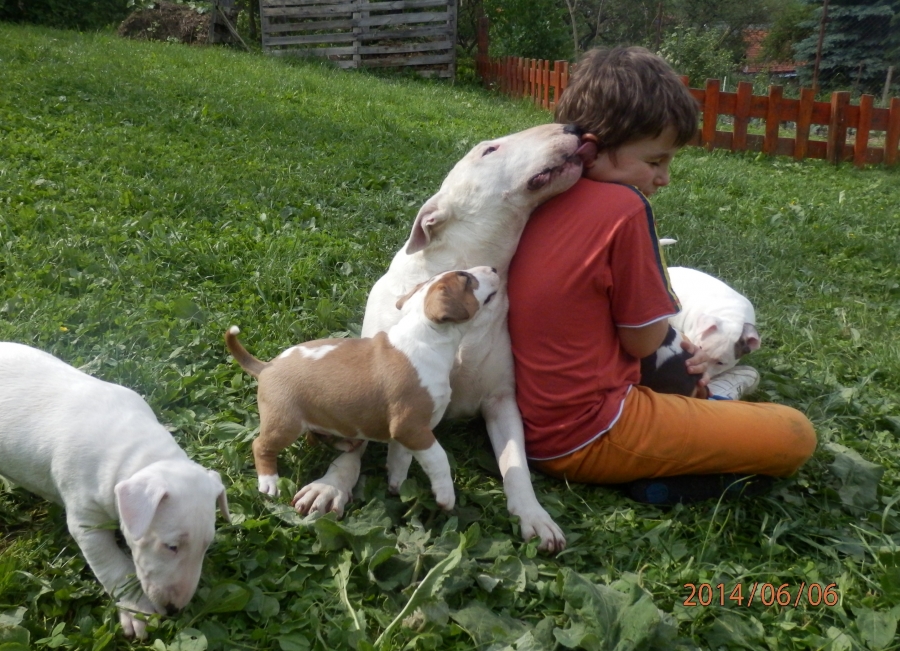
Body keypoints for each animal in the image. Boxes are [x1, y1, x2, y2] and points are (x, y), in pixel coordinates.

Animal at [0, 342, 230, 639]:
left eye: (206, 545)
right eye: (171, 546)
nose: (174, 610)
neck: (138, 450)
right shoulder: (85, 519)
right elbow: (112, 564)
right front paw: (137, 611)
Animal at [226, 267, 500, 511]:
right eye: (466, 278)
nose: (494, 268)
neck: (426, 336)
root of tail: (267, 367)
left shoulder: (404, 430)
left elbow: (400, 458)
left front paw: (397, 486)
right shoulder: (412, 427)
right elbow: (438, 458)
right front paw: (445, 497)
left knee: (314, 437)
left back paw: (345, 444)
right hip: (285, 423)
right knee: (261, 445)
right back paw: (269, 482)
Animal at [290, 123, 595, 553]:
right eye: (490, 150)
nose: (574, 127)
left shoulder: (501, 400)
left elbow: (515, 461)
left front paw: (534, 515)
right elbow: (357, 439)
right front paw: (331, 484)